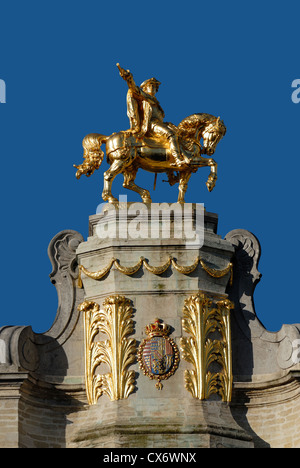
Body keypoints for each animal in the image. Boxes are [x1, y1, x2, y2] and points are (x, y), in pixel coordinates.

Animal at [74, 113, 226, 203]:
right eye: (215, 133)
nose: (210, 150)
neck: (186, 138)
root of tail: (108, 137)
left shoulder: (186, 169)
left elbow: (183, 186)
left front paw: (181, 204)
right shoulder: (190, 161)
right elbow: (213, 162)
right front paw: (210, 183)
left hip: (131, 165)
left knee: (127, 183)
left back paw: (146, 196)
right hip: (122, 160)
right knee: (108, 175)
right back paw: (110, 198)